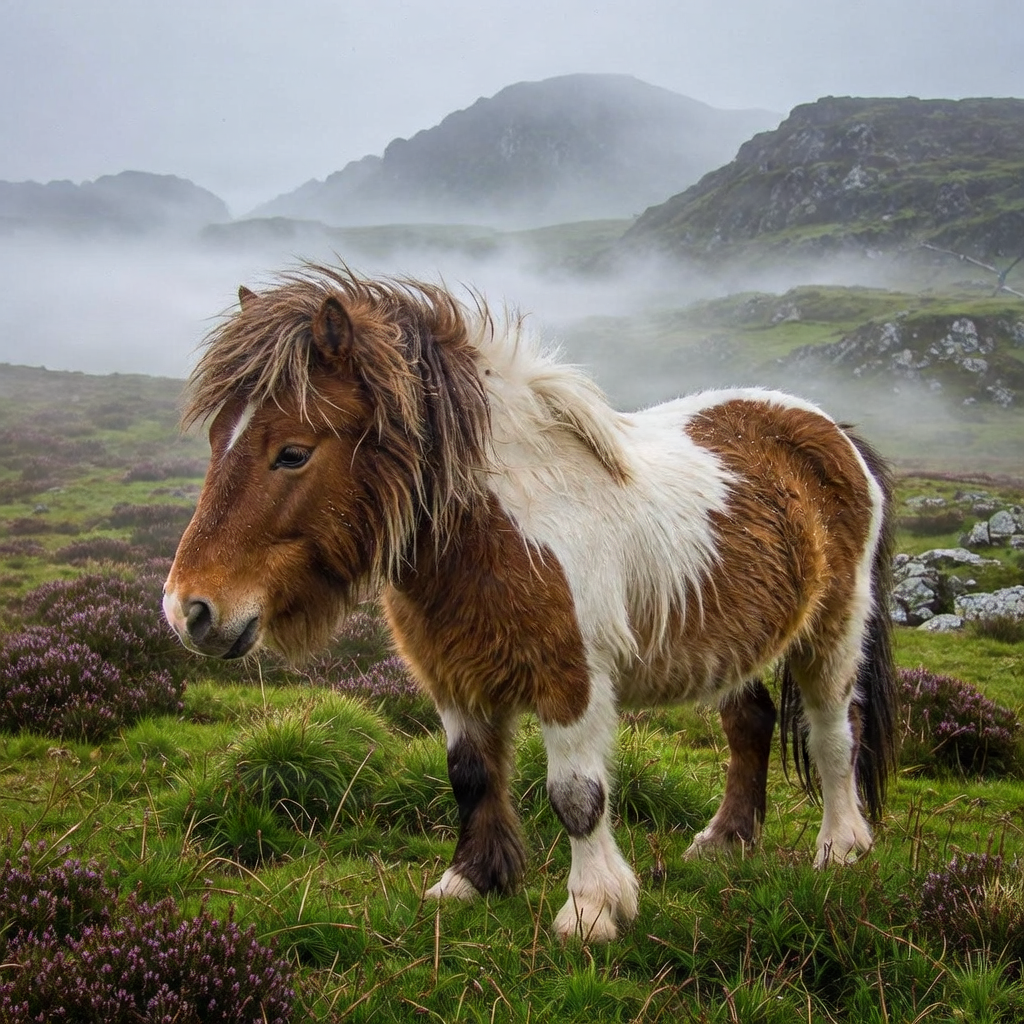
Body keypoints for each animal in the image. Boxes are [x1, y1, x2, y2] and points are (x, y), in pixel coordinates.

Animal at [163, 266, 899, 943]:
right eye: (215, 442)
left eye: (292, 453)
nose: (188, 610)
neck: (501, 527)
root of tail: (831, 429)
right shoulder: (453, 676)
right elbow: (469, 776)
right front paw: (471, 881)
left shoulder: (571, 680)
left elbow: (577, 797)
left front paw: (592, 911)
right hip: (730, 641)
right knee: (750, 722)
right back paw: (725, 840)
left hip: (833, 632)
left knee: (832, 731)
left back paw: (841, 847)